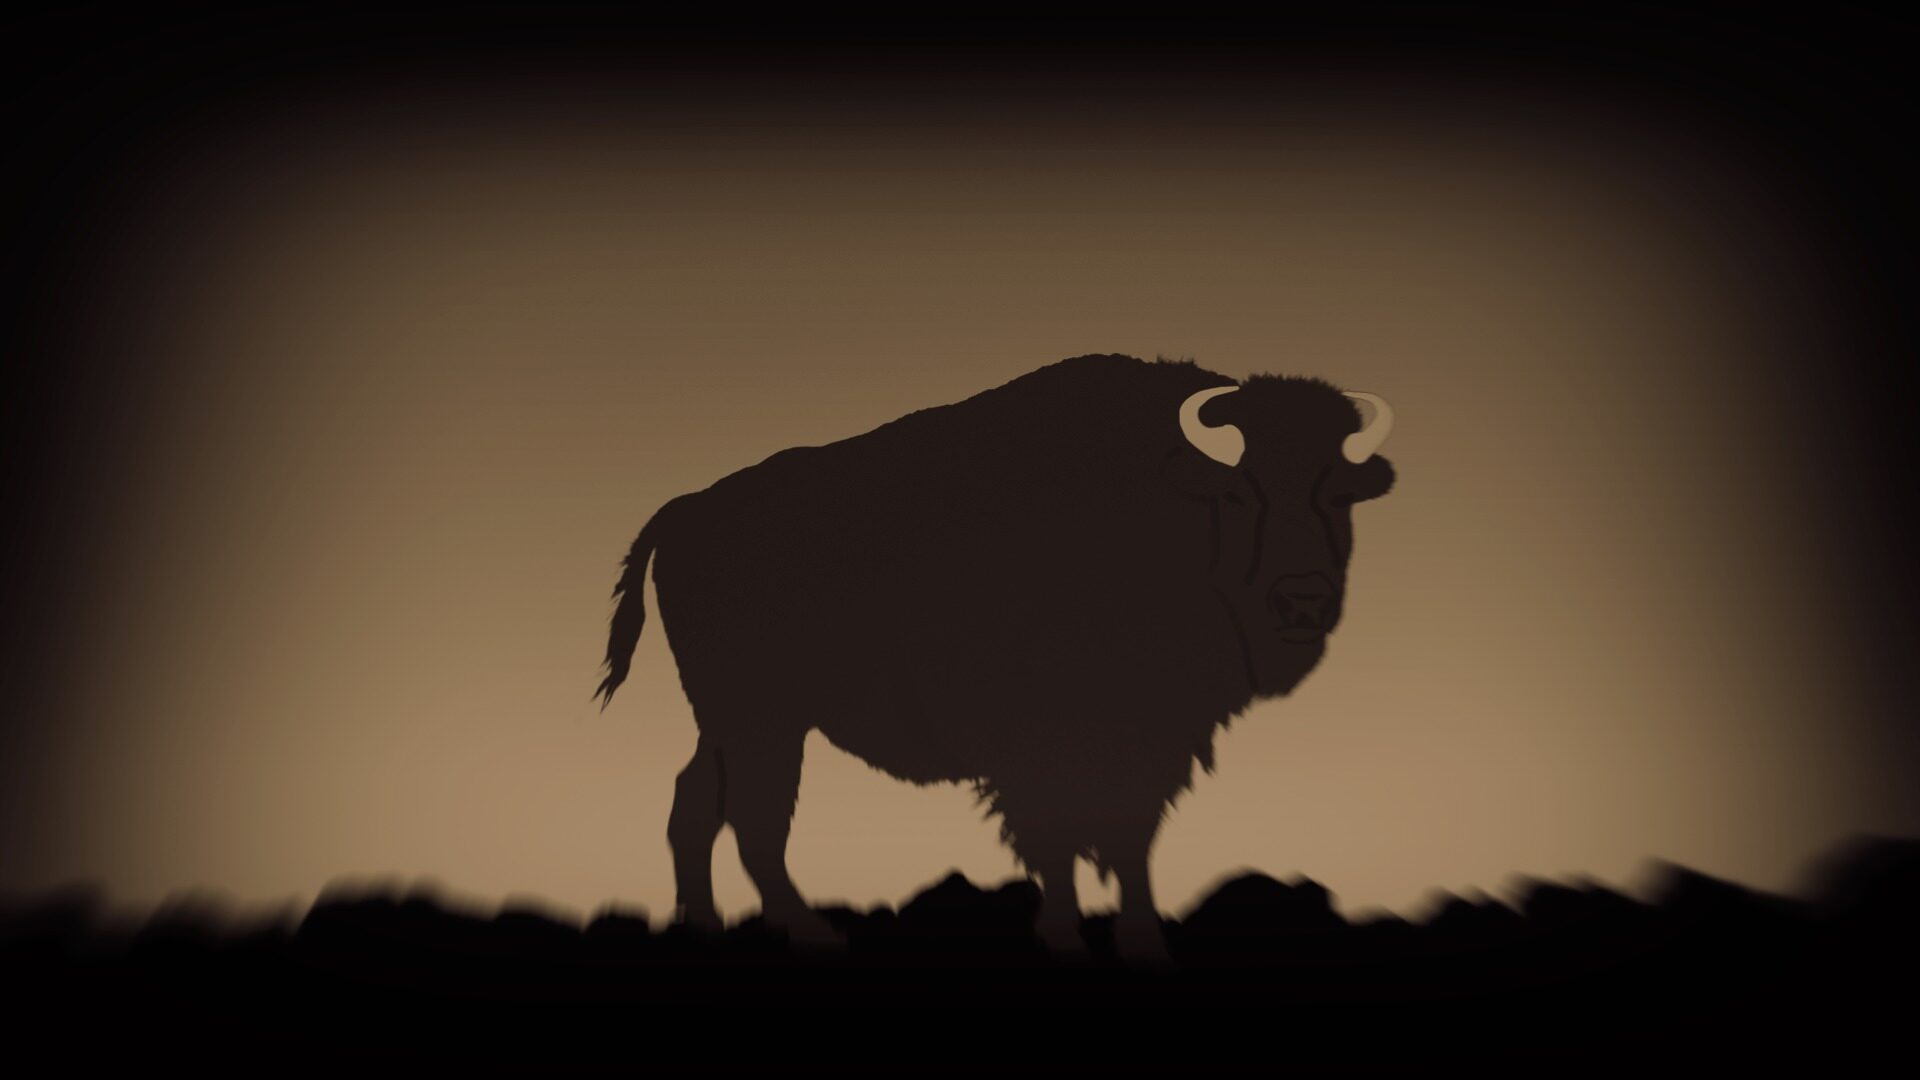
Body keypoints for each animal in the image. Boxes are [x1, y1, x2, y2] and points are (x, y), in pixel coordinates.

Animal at [595, 353, 1397, 962]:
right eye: (1238, 493)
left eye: (1339, 495)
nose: (1303, 601)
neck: (1167, 500)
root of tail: (689, 509)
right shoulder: (1047, 745)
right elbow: (1059, 836)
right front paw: (1065, 936)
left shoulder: (1153, 740)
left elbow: (1128, 838)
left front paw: (1143, 942)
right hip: (763, 722)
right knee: (755, 819)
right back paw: (814, 933)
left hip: (731, 723)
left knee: (697, 803)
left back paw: (704, 925)